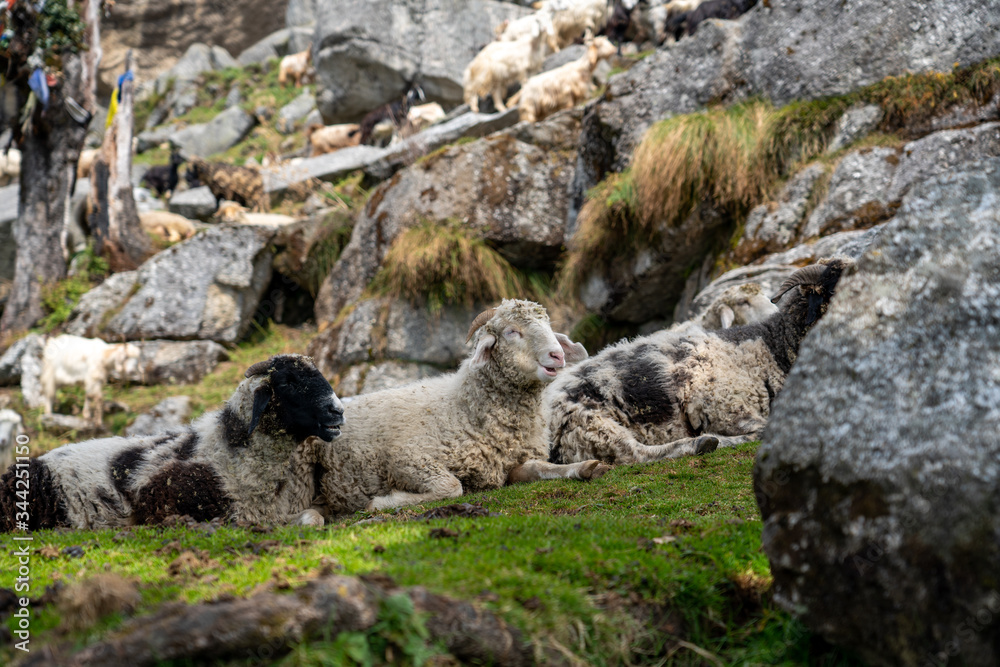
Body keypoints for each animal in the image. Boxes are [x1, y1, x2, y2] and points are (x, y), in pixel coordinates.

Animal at [312, 299, 607, 515]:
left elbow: (542, 469)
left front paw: (587, 467)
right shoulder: (406, 458)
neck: (463, 408)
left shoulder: (514, 463)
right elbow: (452, 487)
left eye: (548, 327)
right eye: (511, 331)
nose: (557, 355)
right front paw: (381, 502)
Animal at [544, 259, 853, 465]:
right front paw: (725, 439)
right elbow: (763, 430)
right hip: (590, 423)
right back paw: (700, 444)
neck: (772, 348)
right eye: (836, 286)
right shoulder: (725, 406)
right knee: (633, 454)